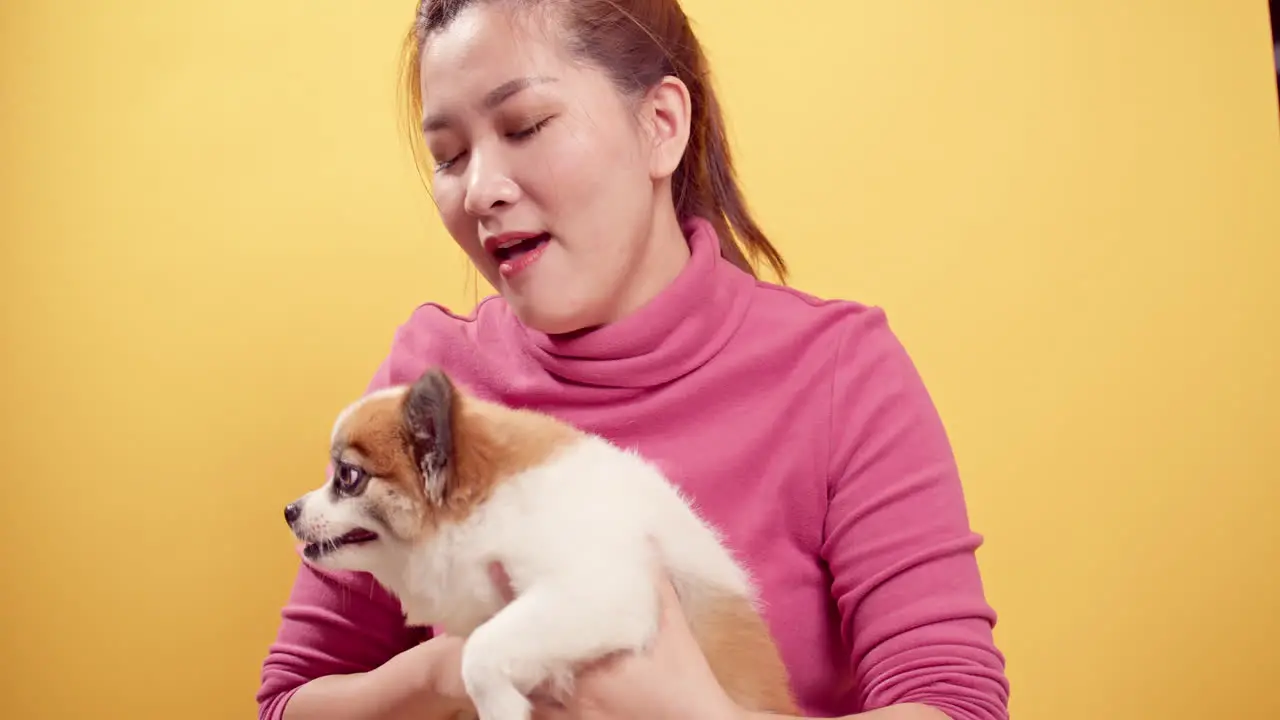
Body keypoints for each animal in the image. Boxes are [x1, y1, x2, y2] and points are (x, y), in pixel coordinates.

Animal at [288, 366, 798, 712]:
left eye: (348, 477)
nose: (290, 510)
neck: (486, 514)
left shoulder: (602, 594)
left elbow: (480, 652)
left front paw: (499, 709)